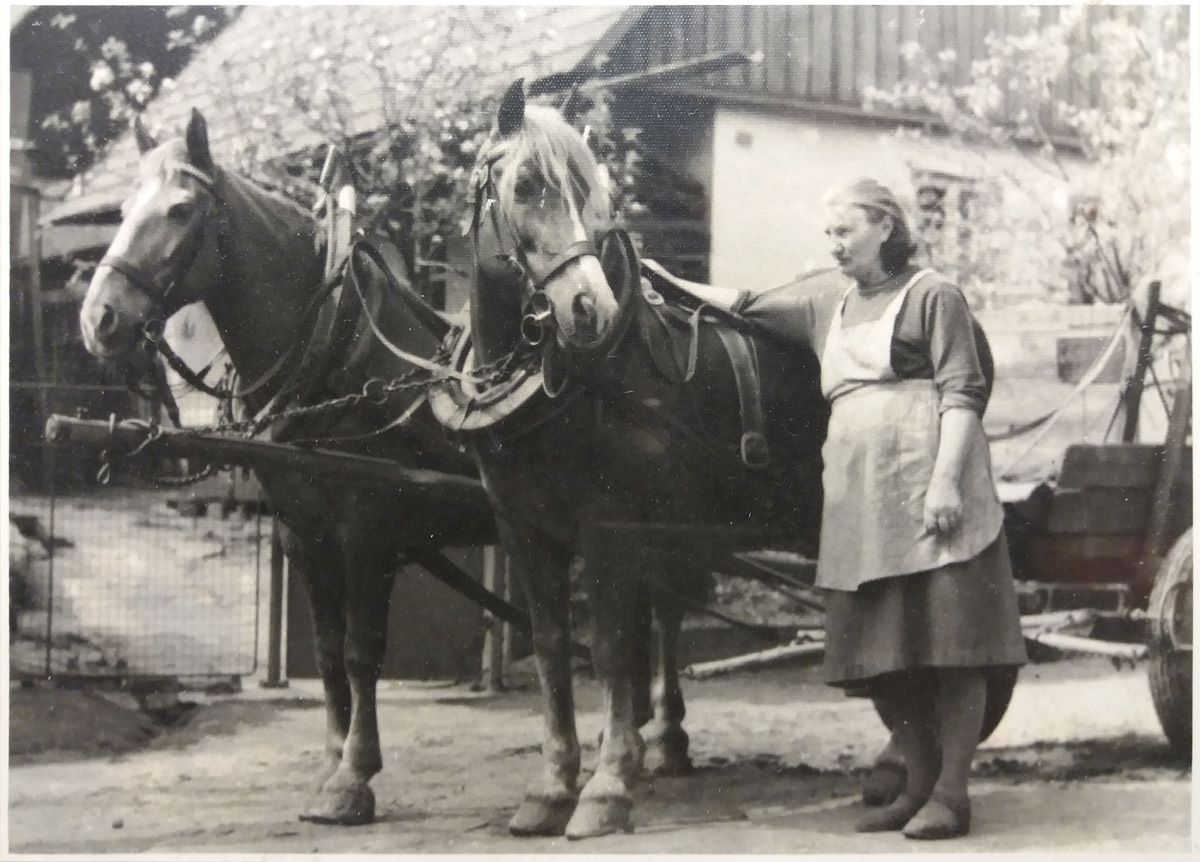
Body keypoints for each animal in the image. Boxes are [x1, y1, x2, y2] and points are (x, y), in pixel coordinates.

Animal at [78, 111, 496, 825]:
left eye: (182, 209)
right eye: (125, 210)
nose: (98, 319)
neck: (337, 349)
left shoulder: (368, 533)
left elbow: (361, 652)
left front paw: (353, 778)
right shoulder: (305, 535)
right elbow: (327, 654)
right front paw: (331, 762)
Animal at [439, 84, 835, 840]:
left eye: (592, 194)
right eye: (525, 186)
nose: (588, 307)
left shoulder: (609, 527)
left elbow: (614, 648)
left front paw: (607, 785)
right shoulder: (523, 528)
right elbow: (554, 646)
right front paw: (552, 784)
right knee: (673, 610)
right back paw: (672, 742)